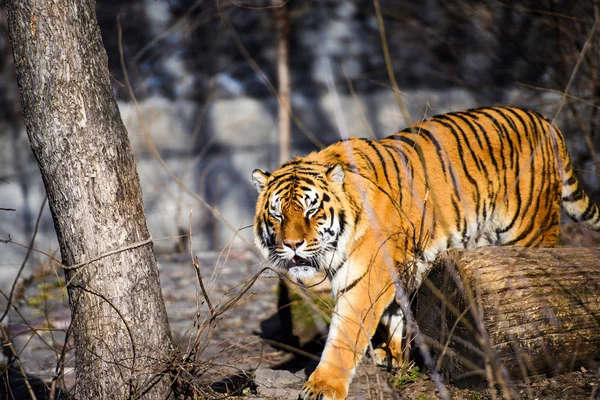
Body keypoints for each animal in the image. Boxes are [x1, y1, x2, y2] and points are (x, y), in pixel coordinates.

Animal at [250, 107, 600, 400]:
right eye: (278, 214)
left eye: (311, 211)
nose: (292, 244)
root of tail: (545, 121)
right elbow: (395, 312)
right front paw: (391, 354)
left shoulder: (364, 279)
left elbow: (344, 335)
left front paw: (324, 386)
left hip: (530, 232)